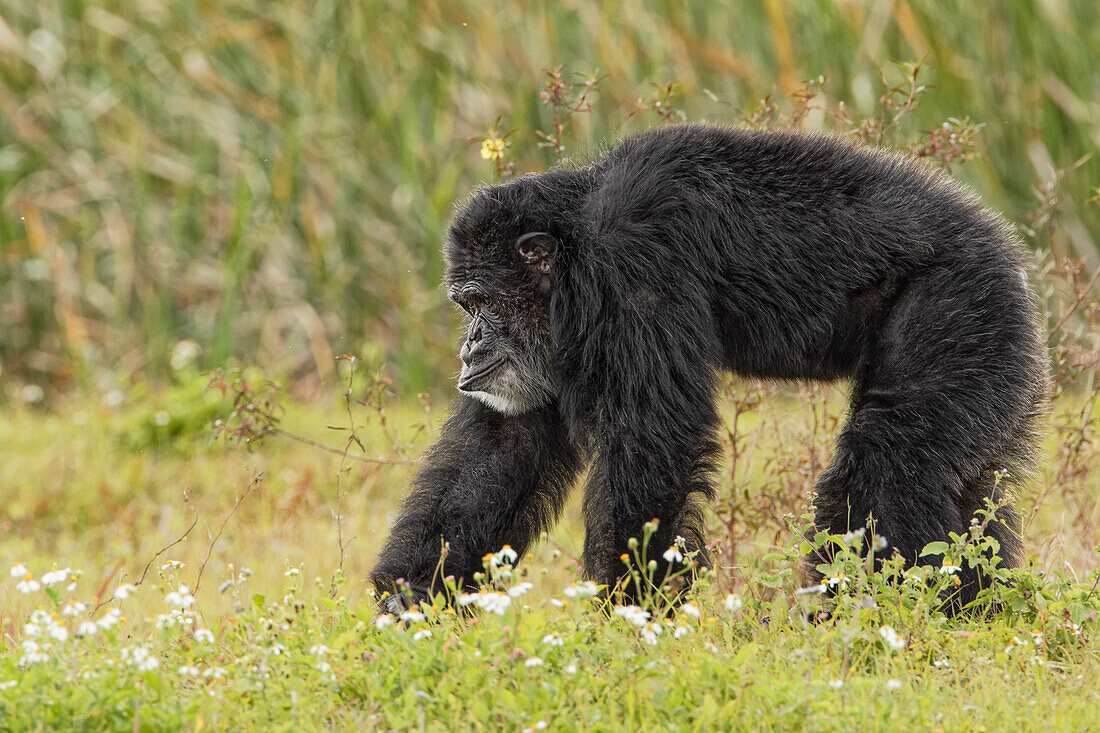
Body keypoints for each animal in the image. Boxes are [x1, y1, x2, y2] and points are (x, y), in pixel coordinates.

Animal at [369, 121, 1047, 611]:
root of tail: (1008, 248)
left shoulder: (630, 266)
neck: (575, 246)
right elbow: (503, 446)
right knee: (972, 489)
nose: (470, 346)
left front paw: (630, 610)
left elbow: (655, 438)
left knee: (889, 459)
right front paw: (411, 602)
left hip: (960, 308)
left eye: (480, 302)